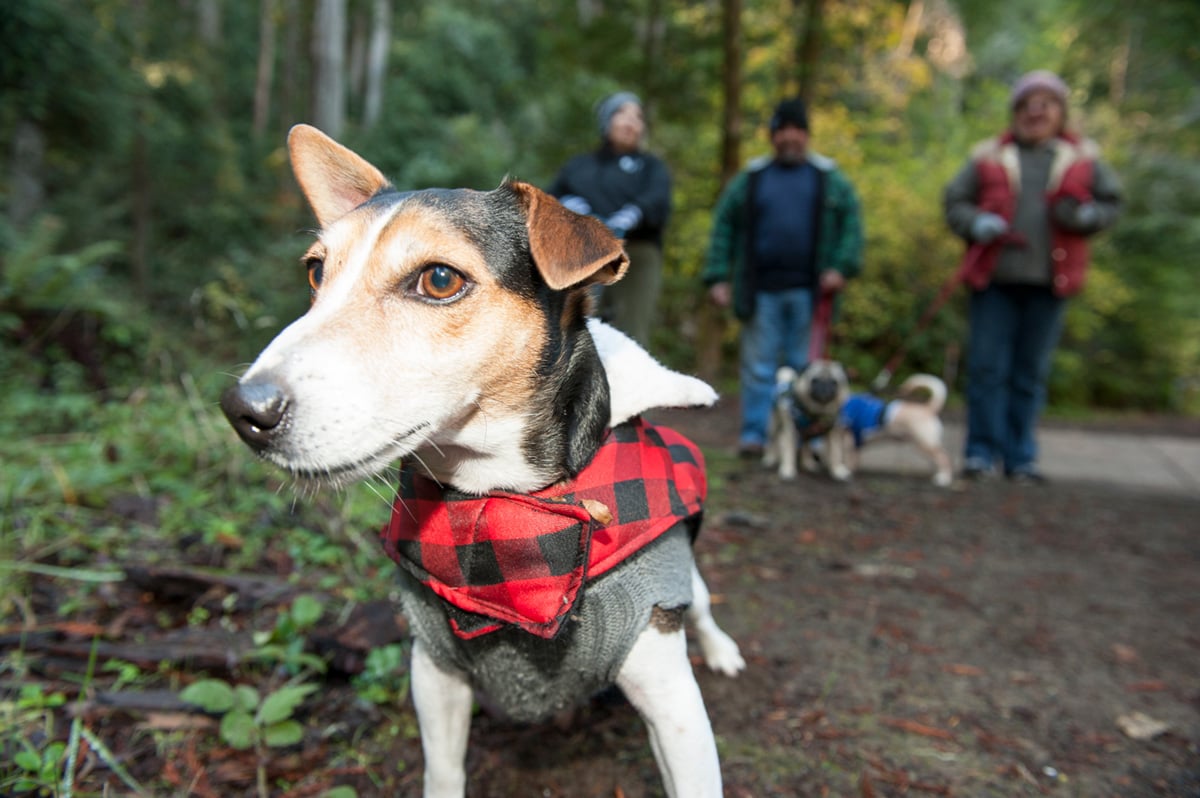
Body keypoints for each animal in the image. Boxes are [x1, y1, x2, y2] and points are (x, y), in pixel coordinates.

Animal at [217, 124, 739, 796]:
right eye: (315, 273)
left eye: (439, 279)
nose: (243, 409)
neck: (498, 506)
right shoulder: (434, 669)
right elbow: (443, 770)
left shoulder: (673, 702)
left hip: (681, 593)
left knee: (701, 602)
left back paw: (722, 650)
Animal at [763, 360, 950, 484]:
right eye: (814, 380)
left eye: (834, 382)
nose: (824, 389)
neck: (819, 413)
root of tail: (928, 408)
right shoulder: (792, 431)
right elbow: (789, 452)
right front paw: (788, 470)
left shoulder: (839, 437)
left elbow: (837, 456)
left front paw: (840, 472)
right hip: (776, 426)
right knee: (776, 443)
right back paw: (772, 459)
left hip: (924, 441)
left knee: (943, 457)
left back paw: (943, 477)